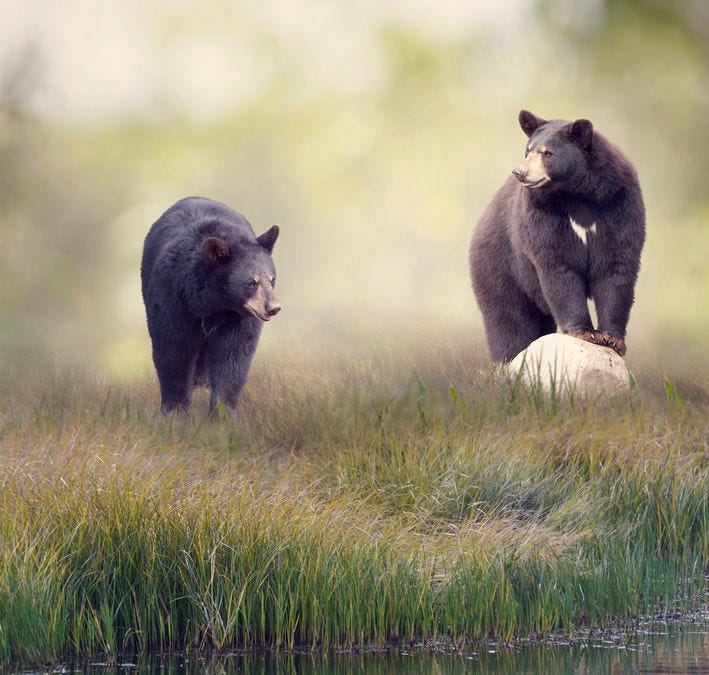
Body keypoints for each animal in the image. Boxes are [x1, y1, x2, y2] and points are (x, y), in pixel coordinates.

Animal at [140, 195, 280, 414]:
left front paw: (222, 411)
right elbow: (173, 351)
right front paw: (175, 410)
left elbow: (232, 357)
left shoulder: (237, 318)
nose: (273, 307)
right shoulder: (173, 299)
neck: (213, 303)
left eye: (272, 279)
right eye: (252, 282)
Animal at [468, 109, 644, 364]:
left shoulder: (619, 203)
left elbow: (616, 266)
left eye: (547, 152)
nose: (519, 172)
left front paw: (612, 338)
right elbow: (557, 265)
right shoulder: (542, 214)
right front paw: (585, 332)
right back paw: (509, 358)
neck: (578, 194)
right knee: (508, 317)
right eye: (528, 150)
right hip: (499, 265)